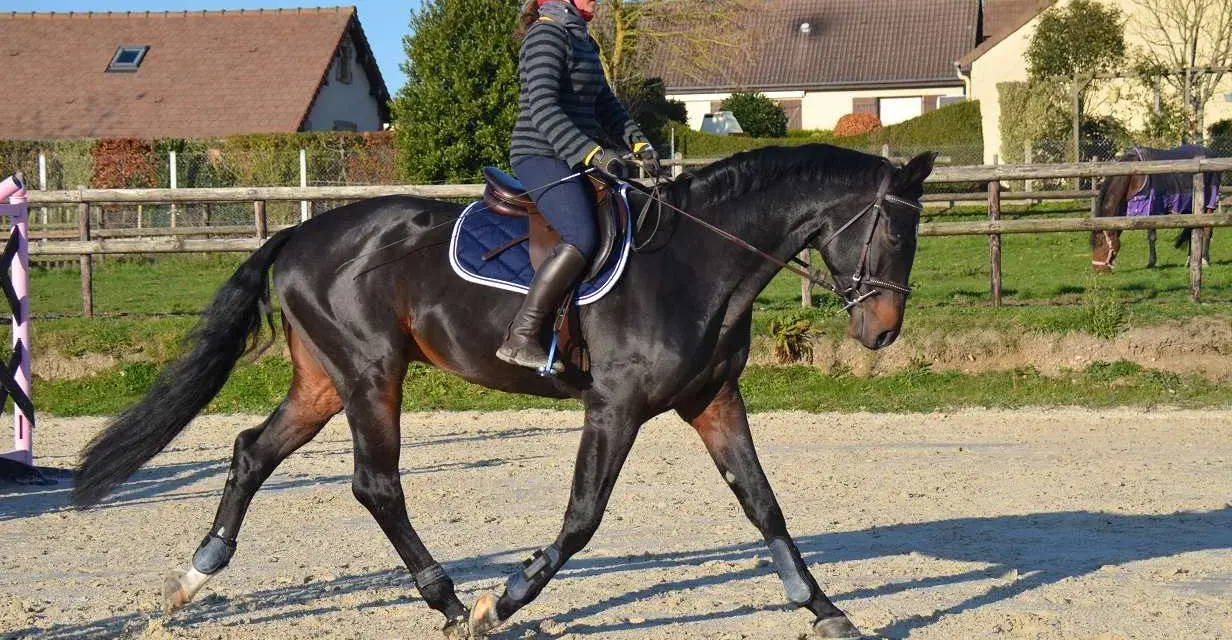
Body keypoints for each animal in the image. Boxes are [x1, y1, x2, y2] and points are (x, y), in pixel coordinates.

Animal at [71, 144, 936, 639]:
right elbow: (582, 520)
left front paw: (824, 609)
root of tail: (299, 232)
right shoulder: (615, 407)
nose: (884, 331)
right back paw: (452, 603)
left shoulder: (714, 400)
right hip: (371, 374)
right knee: (376, 485)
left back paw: (194, 578)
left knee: (253, 452)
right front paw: (504, 603)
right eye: (894, 231)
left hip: (324, 381)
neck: (697, 262)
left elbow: (764, 506)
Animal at [1092, 144, 1220, 272]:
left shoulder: (1151, 209)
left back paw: (1204, 260)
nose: (1098, 269)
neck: (1134, 176)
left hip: (1208, 204)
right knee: (1191, 231)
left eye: (1100, 243)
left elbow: (1151, 237)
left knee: (1207, 231)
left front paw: (1151, 263)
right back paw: (1189, 261)